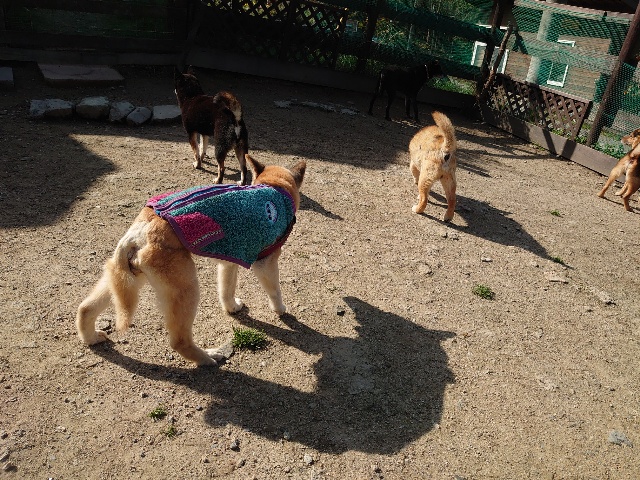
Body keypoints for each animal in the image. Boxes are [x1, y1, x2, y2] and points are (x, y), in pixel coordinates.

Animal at [76, 155, 306, 366]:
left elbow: (226, 289)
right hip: (186, 289)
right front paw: (281, 310)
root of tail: (139, 231)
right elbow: (275, 291)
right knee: (179, 342)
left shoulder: (230, 260)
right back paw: (208, 357)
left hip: (124, 280)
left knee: (85, 308)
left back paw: (91, 337)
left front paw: (232, 308)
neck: (274, 187)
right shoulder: (265, 262)